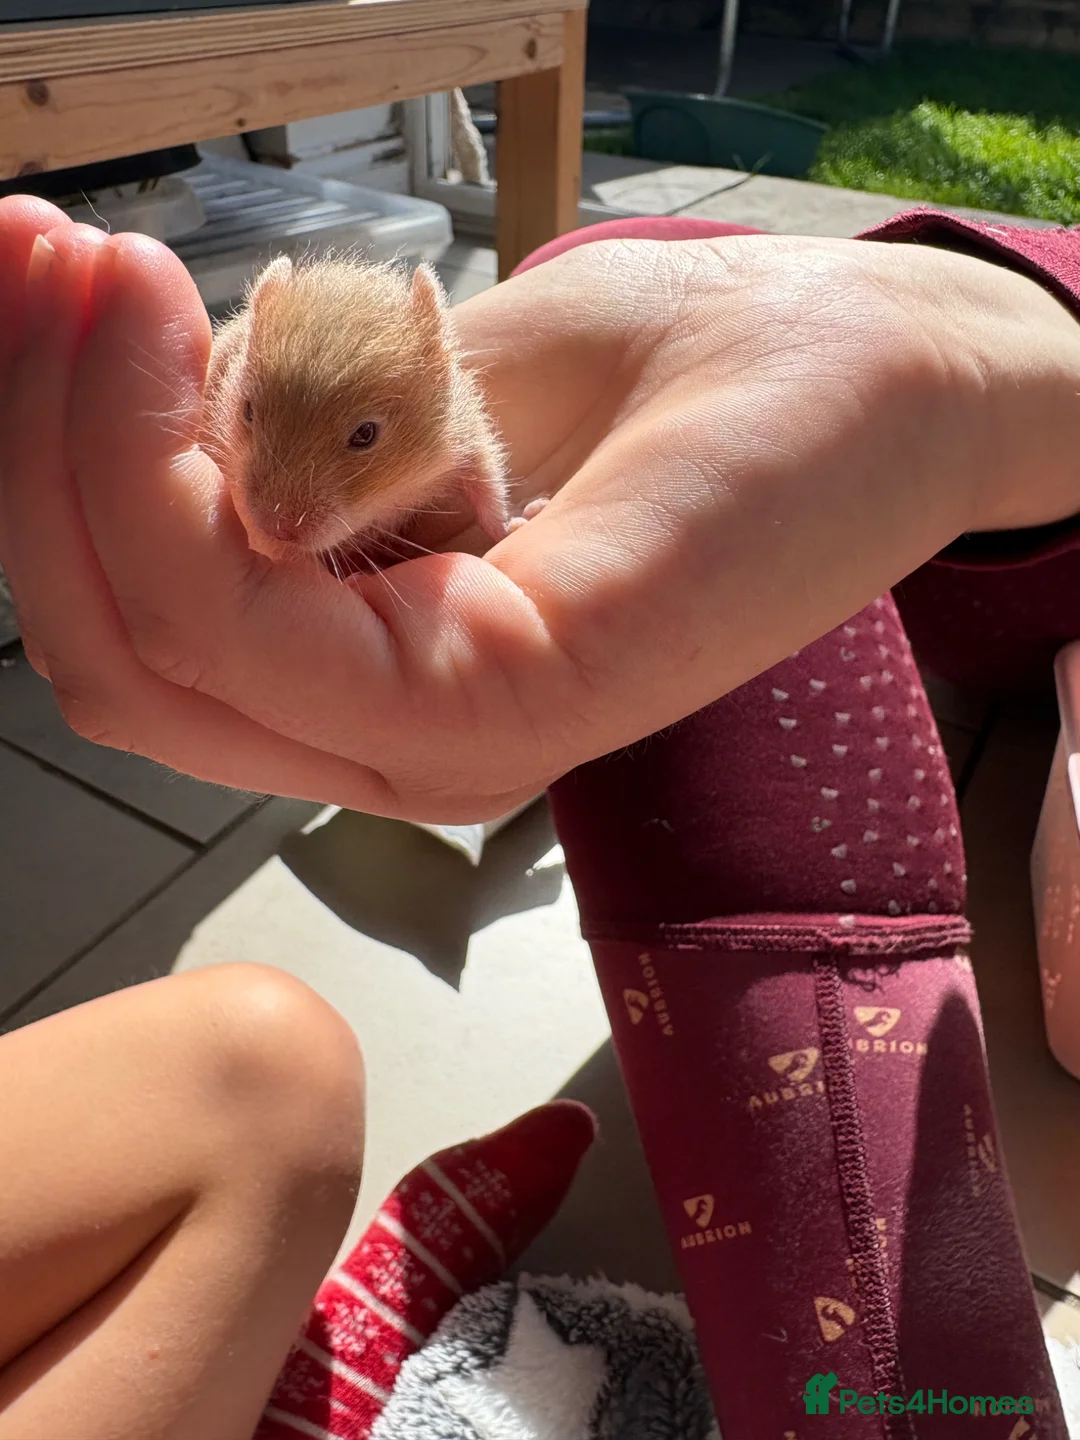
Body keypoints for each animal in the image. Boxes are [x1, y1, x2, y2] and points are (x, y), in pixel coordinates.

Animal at [200, 254, 513, 563]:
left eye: (365, 434)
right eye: (248, 411)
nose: (272, 529)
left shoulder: (469, 435)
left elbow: (489, 490)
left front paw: (514, 525)